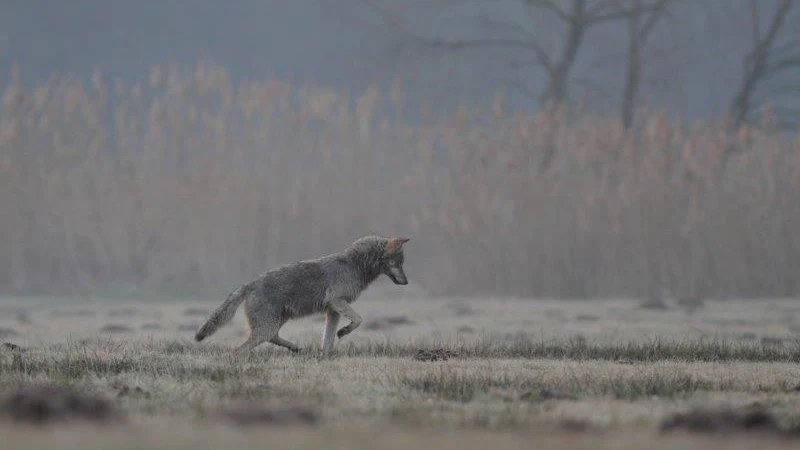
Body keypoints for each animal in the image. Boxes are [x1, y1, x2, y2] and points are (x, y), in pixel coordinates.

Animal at [194, 235, 410, 354]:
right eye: (399, 263)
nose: (407, 282)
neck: (354, 264)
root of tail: (250, 284)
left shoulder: (333, 310)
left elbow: (328, 340)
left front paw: (325, 357)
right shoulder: (337, 301)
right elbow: (359, 320)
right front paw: (344, 331)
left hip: (277, 322)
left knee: (273, 337)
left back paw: (296, 348)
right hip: (265, 328)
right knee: (237, 351)